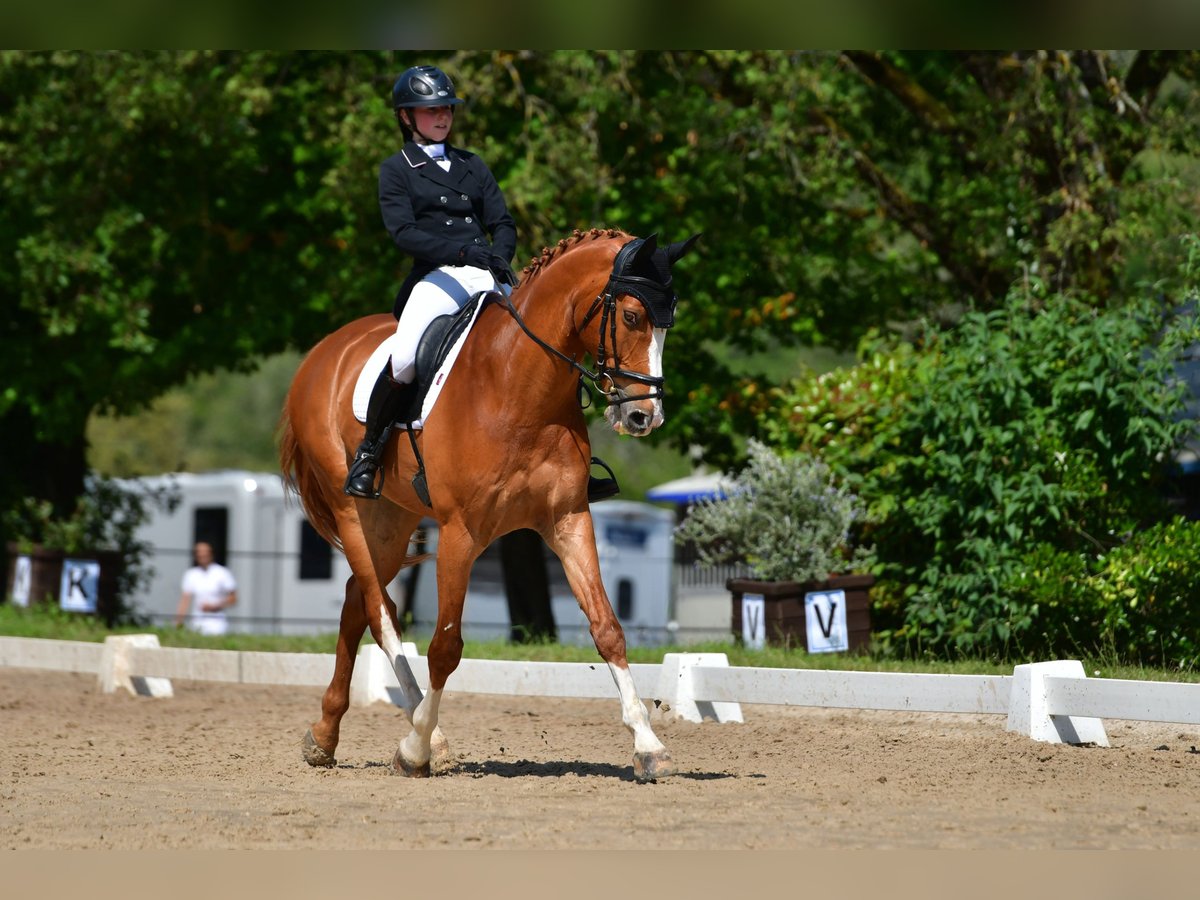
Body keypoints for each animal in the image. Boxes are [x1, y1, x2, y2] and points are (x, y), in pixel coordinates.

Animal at [277, 226, 700, 782]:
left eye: (669, 324)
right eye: (631, 317)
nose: (643, 416)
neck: (521, 389)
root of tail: (325, 349)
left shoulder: (568, 520)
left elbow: (607, 628)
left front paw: (649, 746)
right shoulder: (461, 532)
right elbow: (444, 647)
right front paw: (415, 751)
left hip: (391, 518)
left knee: (354, 601)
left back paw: (325, 736)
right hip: (350, 507)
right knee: (379, 608)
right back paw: (425, 736)